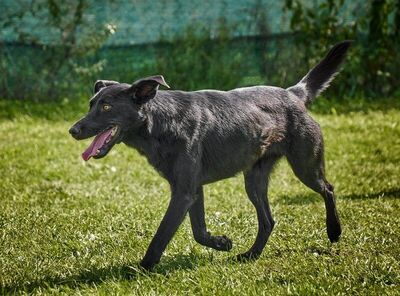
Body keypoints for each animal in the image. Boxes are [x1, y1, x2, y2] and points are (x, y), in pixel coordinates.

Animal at [70, 41, 352, 270]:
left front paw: (141, 268)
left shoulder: (183, 192)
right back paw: (250, 255)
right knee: (268, 221)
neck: (160, 123)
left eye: (106, 107)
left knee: (328, 189)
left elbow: (161, 235)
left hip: (306, 166)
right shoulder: (192, 189)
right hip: (254, 181)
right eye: (91, 104)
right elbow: (198, 231)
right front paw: (222, 243)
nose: (73, 130)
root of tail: (294, 93)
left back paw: (334, 231)